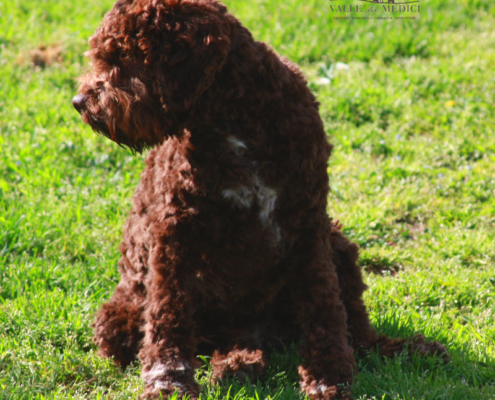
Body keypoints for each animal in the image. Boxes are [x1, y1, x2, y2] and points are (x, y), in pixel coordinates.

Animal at [72, 0, 450, 396]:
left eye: (122, 58)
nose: (79, 101)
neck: (235, 122)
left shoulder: (307, 224)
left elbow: (324, 306)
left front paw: (327, 377)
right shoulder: (174, 233)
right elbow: (167, 314)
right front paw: (169, 384)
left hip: (338, 245)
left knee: (358, 331)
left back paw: (405, 349)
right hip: (120, 317)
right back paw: (239, 364)